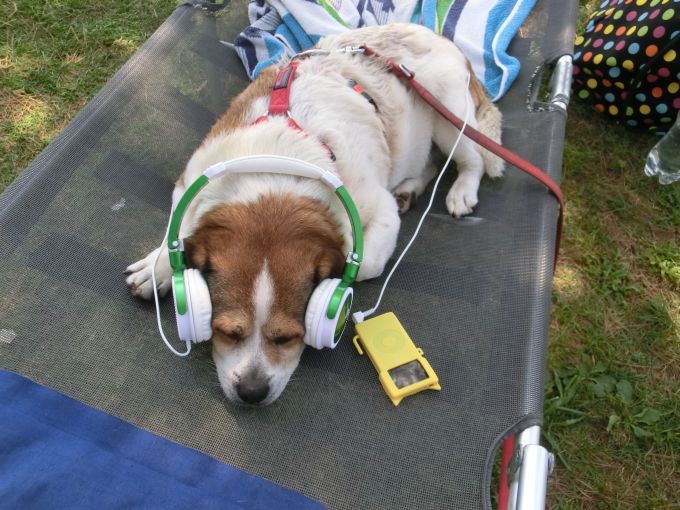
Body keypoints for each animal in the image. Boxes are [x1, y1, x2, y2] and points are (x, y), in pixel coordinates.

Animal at [125, 22, 502, 406]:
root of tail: (435, 34)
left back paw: (461, 190)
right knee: (429, 162)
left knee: (470, 159)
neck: (275, 166)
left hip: (449, 117)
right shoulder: (190, 181)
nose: (252, 392)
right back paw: (410, 187)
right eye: (227, 332)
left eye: (288, 337)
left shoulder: (376, 211)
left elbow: (363, 262)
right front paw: (156, 267)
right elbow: (179, 228)